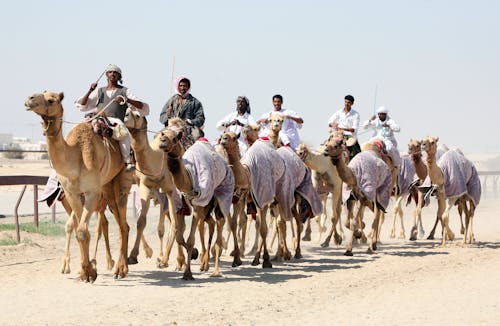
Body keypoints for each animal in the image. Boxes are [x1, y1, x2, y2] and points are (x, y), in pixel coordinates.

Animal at [24, 91, 133, 280]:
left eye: (51, 100)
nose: (29, 99)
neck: (76, 157)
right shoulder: (71, 194)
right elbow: (78, 230)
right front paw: (85, 270)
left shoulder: (91, 192)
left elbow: (82, 231)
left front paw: (90, 272)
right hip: (106, 188)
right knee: (117, 223)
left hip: (119, 183)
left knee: (123, 225)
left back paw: (120, 269)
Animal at [124, 110, 187, 270]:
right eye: (128, 110)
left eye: (138, 114)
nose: (125, 114)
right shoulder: (145, 187)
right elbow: (141, 222)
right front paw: (134, 255)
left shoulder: (169, 190)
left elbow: (172, 225)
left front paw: (164, 259)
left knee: (177, 223)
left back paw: (178, 260)